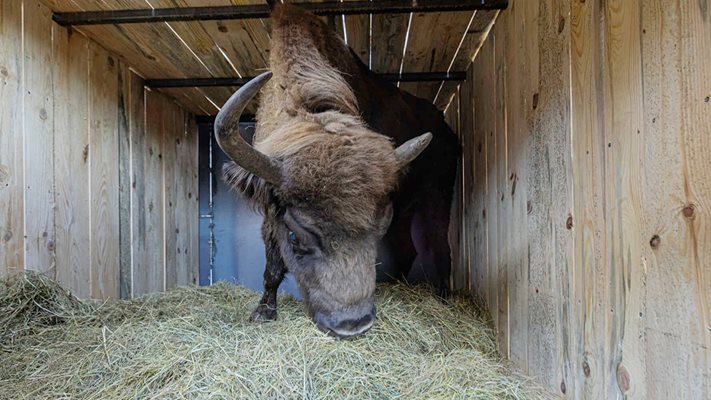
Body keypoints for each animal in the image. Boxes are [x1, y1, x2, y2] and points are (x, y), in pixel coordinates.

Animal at [218, 6, 462, 338]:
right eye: (294, 236)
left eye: (375, 230)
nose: (353, 324)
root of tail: (448, 133)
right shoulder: (270, 204)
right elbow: (272, 265)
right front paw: (263, 312)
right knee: (408, 248)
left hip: (438, 199)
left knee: (440, 249)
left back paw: (443, 300)